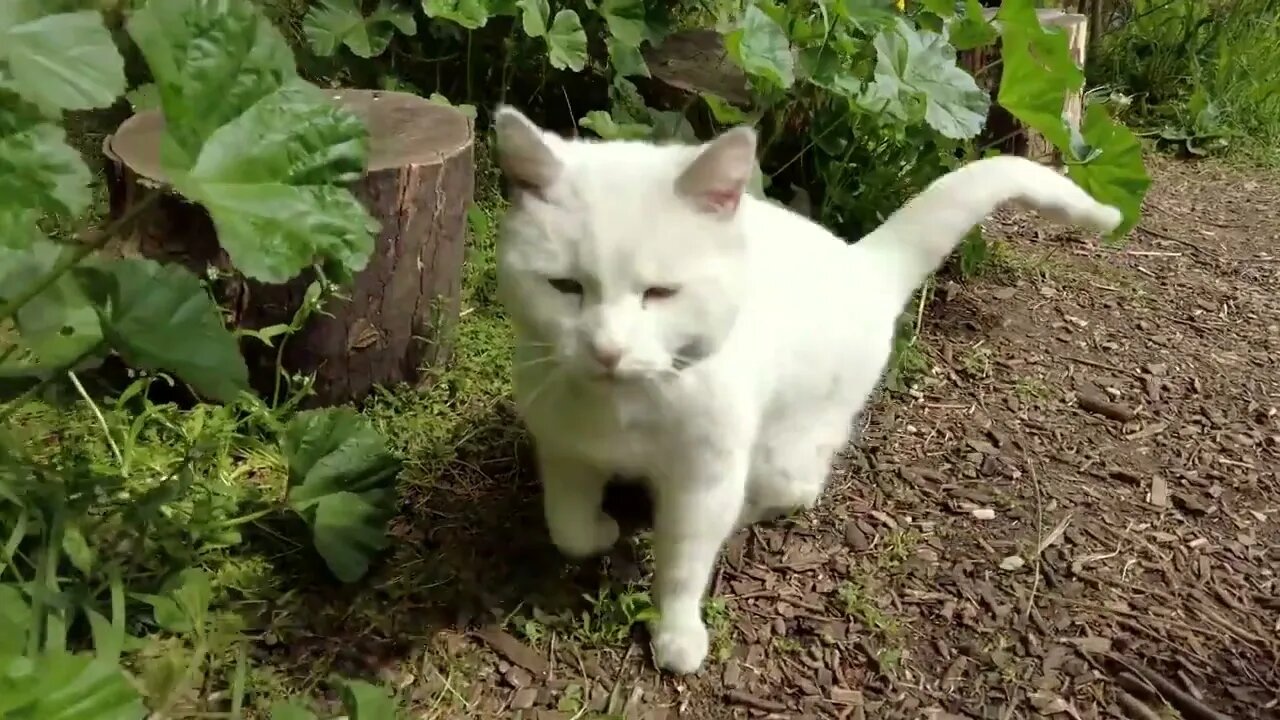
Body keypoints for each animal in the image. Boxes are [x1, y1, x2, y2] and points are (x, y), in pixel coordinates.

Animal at [488, 106, 1121, 671]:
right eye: (566, 287)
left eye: (661, 293)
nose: (608, 350)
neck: (625, 409)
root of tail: (863, 264)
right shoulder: (564, 451)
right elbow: (568, 528)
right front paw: (599, 531)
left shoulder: (704, 480)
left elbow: (684, 562)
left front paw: (677, 634)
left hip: (782, 452)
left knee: (793, 491)